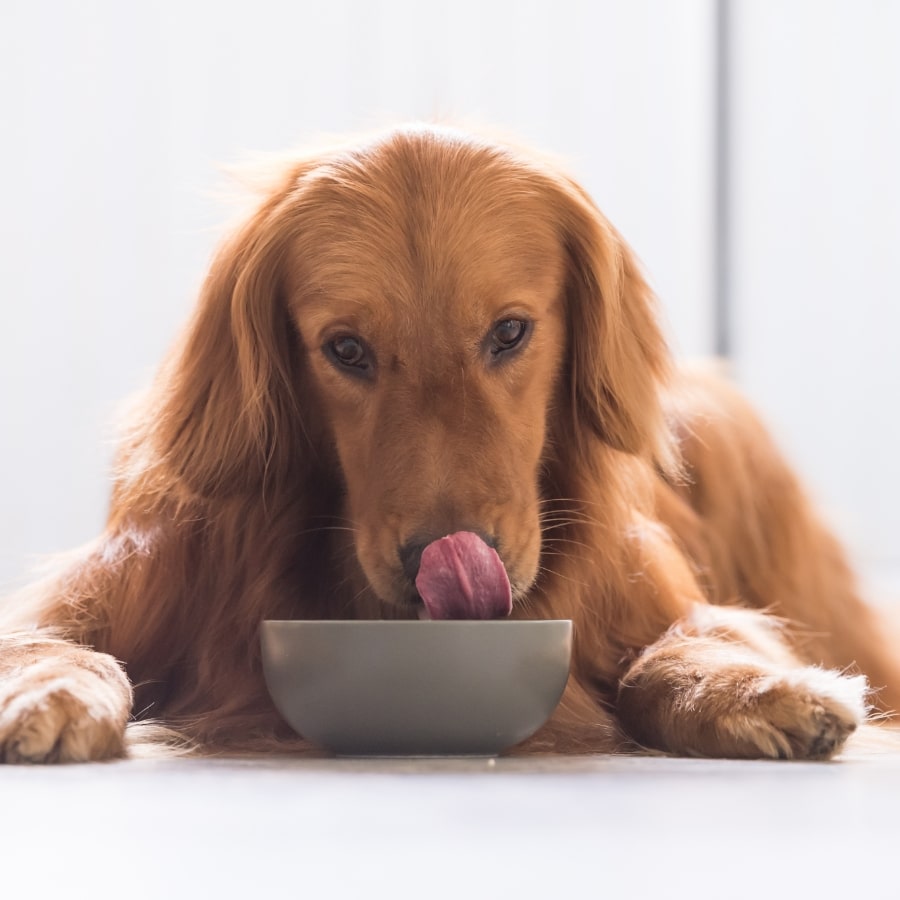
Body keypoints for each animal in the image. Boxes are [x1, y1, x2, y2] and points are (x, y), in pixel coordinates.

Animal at [1, 126, 900, 760]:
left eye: (509, 333)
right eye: (346, 349)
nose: (449, 558)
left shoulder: (650, 594)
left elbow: (683, 644)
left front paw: (758, 689)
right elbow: (50, 644)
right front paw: (48, 692)